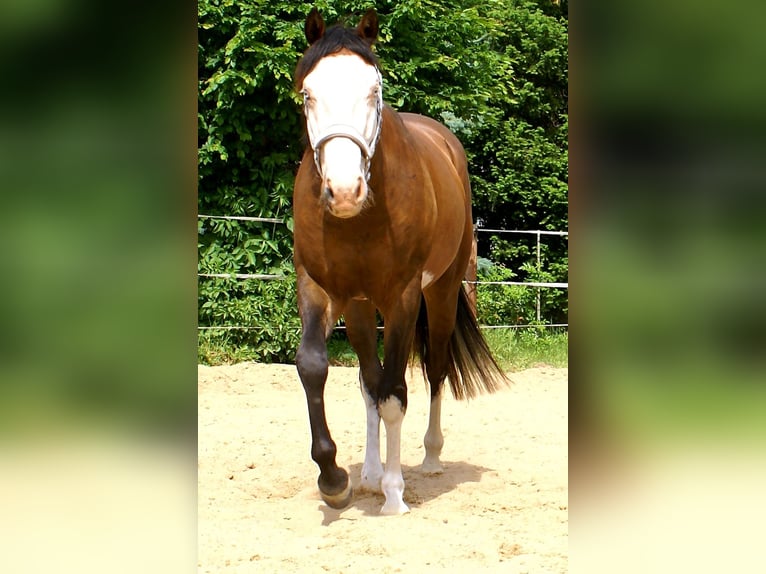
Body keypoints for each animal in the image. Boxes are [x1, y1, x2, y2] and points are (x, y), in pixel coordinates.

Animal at [292, 8, 508, 515]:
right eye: (308, 94)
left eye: (374, 91)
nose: (344, 191)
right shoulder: (319, 288)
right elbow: (317, 367)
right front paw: (335, 480)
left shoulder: (403, 298)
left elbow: (396, 393)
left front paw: (394, 493)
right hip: (358, 306)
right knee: (369, 380)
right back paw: (369, 472)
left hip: (442, 292)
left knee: (435, 368)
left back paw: (429, 458)